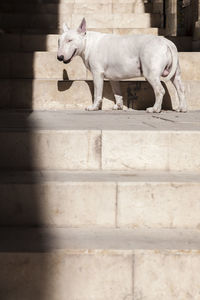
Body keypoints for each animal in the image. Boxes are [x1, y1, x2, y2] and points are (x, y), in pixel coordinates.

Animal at [57, 17, 187, 113]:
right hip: (176, 74)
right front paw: (118, 106)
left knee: (160, 90)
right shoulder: (113, 77)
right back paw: (182, 108)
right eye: (59, 41)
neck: (88, 42)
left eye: (70, 40)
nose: (59, 57)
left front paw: (94, 107)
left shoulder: (97, 73)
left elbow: (97, 93)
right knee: (180, 89)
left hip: (150, 73)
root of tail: (166, 42)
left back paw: (154, 109)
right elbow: (117, 92)